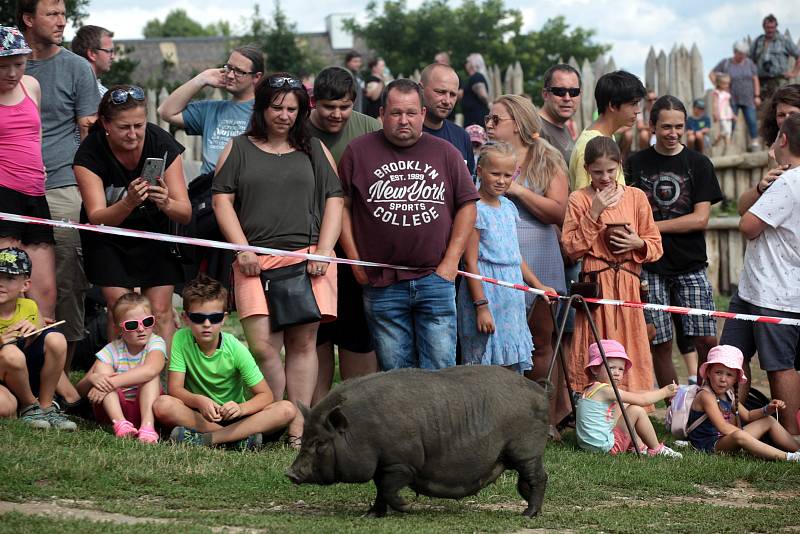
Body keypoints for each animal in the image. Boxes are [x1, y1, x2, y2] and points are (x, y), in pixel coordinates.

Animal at [282, 366, 552, 516]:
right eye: (304, 438)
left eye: (320, 443)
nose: (290, 473)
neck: (361, 430)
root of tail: (540, 391)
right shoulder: (383, 465)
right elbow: (379, 489)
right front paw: (370, 515)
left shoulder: (401, 463)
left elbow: (388, 489)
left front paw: (407, 508)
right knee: (527, 481)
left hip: (525, 450)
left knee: (539, 477)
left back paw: (527, 515)